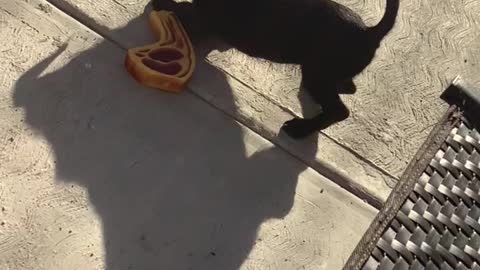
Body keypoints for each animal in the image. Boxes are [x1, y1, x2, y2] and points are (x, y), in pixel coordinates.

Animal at [152, 0, 400, 139]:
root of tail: (369, 32)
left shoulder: (203, 20)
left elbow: (179, 10)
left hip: (318, 74)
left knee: (339, 110)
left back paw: (301, 130)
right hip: (323, 74)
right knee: (348, 88)